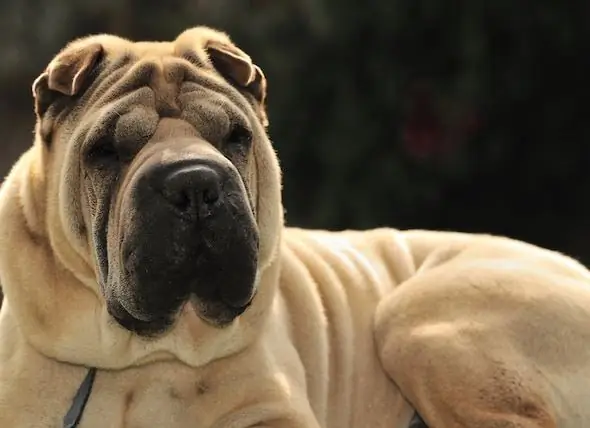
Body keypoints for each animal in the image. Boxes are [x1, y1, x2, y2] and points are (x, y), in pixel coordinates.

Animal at [1, 25, 590, 428]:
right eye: (107, 150)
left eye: (235, 137)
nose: (194, 184)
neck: (145, 360)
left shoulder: (274, 412)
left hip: (415, 319)